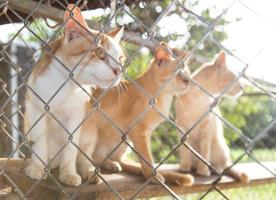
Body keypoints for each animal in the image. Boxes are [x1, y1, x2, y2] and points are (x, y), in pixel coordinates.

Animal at [24, 3, 124, 187]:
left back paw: (89, 171)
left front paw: (68, 173)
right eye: (100, 53)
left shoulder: (76, 115)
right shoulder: (37, 108)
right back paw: (51, 161)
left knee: (85, 156)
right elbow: (40, 142)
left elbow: (70, 147)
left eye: (120, 59)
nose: (119, 70)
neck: (67, 86)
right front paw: (37, 167)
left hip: (89, 131)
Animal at [80, 43, 194, 185]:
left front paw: (149, 172)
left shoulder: (145, 132)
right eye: (178, 73)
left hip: (122, 140)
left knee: (114, 158)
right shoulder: (139, 131)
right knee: (94, 156)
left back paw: (123, 166)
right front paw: (152, 175)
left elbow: (145, 156)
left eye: (188, 73)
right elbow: (146, 156)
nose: (188, 81)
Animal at [176, 51, 249, 183]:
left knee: (222, 165)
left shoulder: (207, 127)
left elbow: (205, 153)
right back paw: (192, 166)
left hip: (219, 145)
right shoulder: (181, 127)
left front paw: (203, 171)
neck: (199, 97)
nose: (243, 87)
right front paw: (184, 167)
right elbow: (185, 150)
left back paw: (215, 169)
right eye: (236, 78)